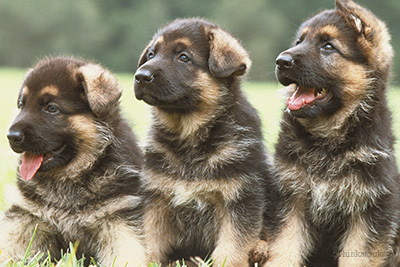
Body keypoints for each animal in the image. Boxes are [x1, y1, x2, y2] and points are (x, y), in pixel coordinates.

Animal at [0, 56, 148, 266]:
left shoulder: (118, 218)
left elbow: (127, 254)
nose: (11, 136)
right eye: (22, 106)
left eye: (51, 108)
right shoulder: (26, 215)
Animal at [133, 18, 274, 266]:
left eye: (183, 57)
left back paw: (260, 249)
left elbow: (231, 249)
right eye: (151, 54)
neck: (189, 136)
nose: (140, 76)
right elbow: (150, 241)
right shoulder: (156, 198)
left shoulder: (240, 199)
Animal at [264, 0, 398, 267]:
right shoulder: (290, 198)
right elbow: (284, 249)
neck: (328, 140)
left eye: (328, 47)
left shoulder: (368, 209)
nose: (281, 61)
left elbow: (357, 257)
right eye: (299, 41)